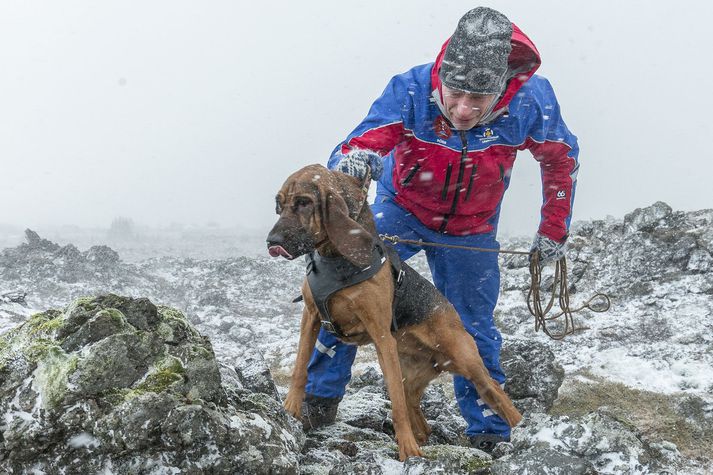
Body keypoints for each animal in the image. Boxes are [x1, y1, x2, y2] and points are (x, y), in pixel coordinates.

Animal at [264, 165, 520, 462]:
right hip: (412, 378)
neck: (336, 259)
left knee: (498, 398)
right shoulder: (311, 316)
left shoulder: (381, 336)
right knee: (419, 417)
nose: (272, 242)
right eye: (279, 204)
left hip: (468, 362)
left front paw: (407, 450)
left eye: (304, 202)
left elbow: (395, 404)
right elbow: (300, 368)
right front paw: (291, 409)